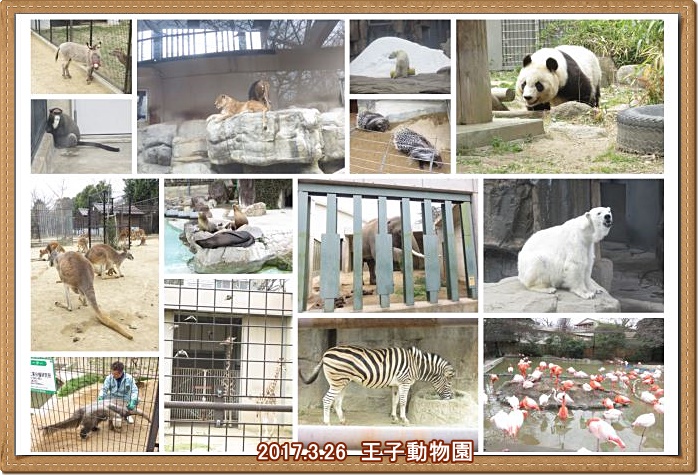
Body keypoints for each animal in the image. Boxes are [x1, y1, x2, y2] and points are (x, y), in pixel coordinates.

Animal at [296, 344, 454, 426]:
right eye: (449, 383)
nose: (451, 399)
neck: (416, 365)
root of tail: (325, 354)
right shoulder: (404, 382)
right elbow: (403, 402)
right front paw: (405, 419)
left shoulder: (395, 384)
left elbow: (395, 401)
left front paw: (394, 418)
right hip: (337, 381)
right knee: (327, 400)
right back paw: (327, 422)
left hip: (342, 382)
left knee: (337, 402)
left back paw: (342, 420)